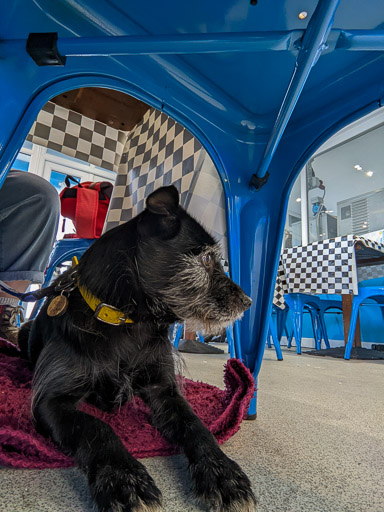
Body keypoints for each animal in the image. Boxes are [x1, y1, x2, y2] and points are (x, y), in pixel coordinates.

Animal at [20, 186, 255, 512]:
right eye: (207, 259)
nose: (248, 302)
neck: (129, 322)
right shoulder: (52, 401)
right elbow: (97, 428)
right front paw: (124, 479)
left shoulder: (163, 389)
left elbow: (196, 425)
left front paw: (223, 473)